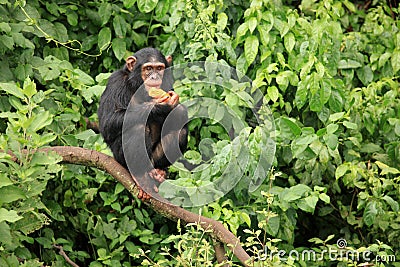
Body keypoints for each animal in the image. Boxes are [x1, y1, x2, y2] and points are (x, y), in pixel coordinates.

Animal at [98, 47, 189, 200]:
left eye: (159, 68)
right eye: (148, 68)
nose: (154, 77)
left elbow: (180, 115)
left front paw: (175, 106)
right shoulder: (115, 81)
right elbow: (107, 122)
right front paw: (159, 106)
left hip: (153, 159)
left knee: (180, 133)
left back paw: (159, 172)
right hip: (120, 158)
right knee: (138, 129)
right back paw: (141, 177)